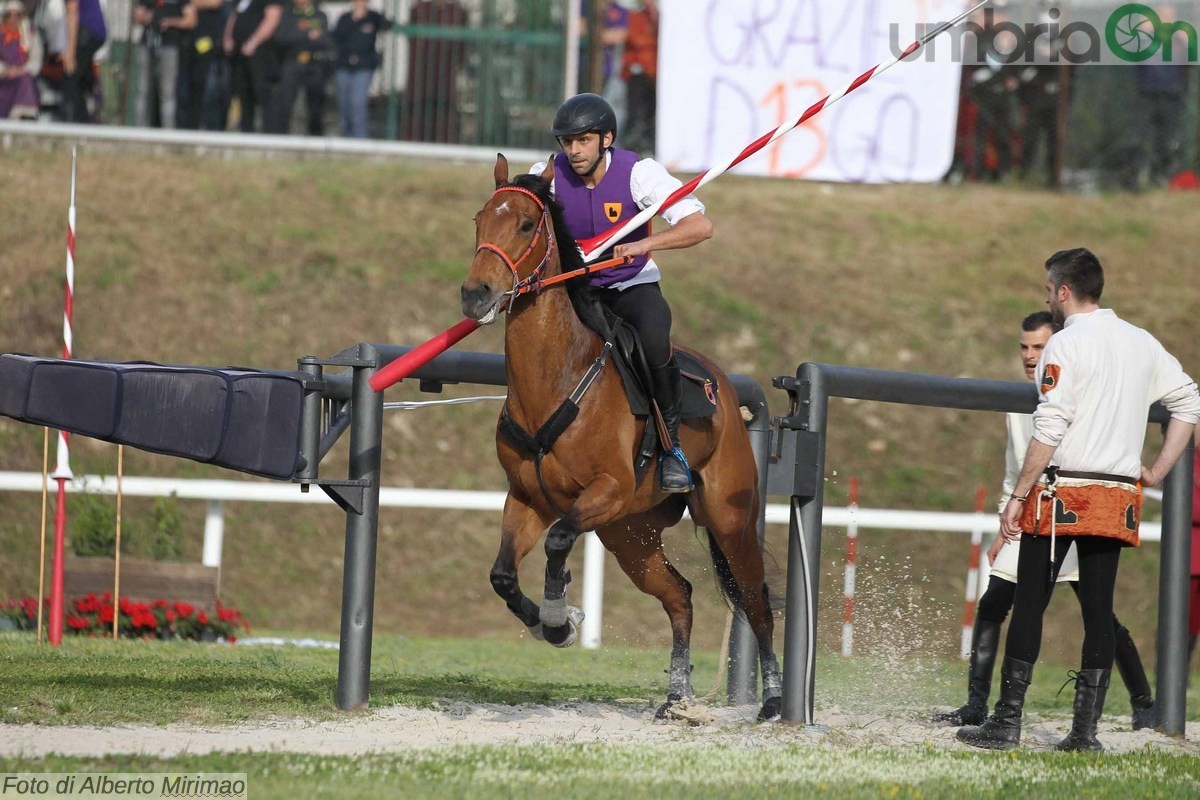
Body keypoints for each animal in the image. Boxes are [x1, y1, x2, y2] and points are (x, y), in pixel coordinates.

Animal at [456, 154, 777, 719]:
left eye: (525, 224)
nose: (476, 295)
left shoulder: (605, 490)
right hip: (631, 536)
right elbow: (502, 575)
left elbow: (559, 541)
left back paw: (776, 701)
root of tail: (722, 388)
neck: (557, 380)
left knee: (756, 599)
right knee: (680, 595)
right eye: (479, 220)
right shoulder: (527, 498)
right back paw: (677, 697)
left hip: (728, 519)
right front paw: (553, 625)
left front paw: (560, 616)